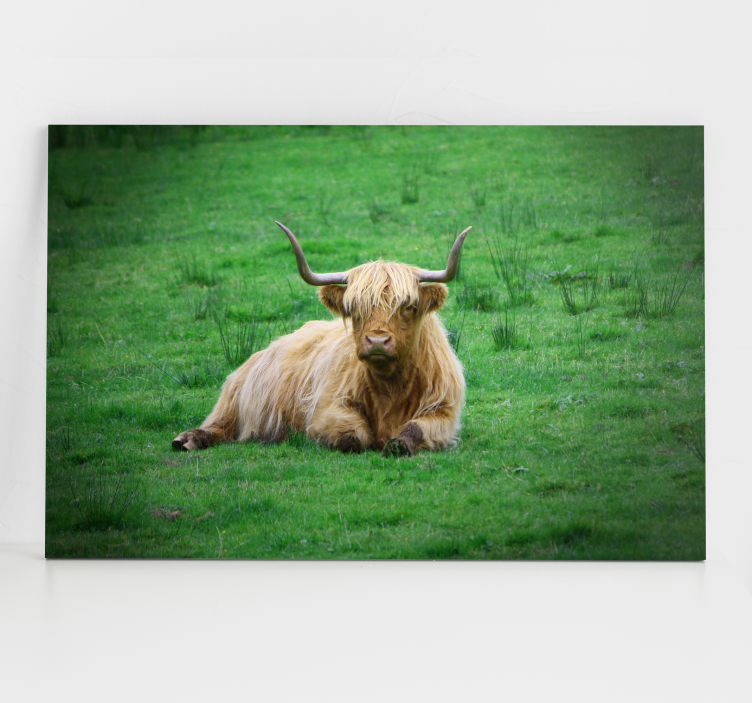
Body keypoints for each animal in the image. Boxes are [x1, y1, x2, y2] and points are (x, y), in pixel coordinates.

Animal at [171, 222, 471, 457]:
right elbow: (354, 436)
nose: (376, 342)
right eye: (354, 307)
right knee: (219, 424)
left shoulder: (443, 411)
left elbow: (414, 429)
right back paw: (188, 439)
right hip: (235, 400)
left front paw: (397, 444)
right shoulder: (326, 408)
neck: (390, 385)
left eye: (408, 306)